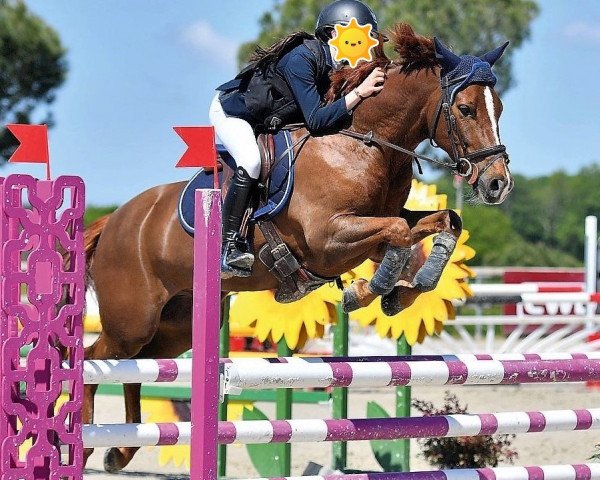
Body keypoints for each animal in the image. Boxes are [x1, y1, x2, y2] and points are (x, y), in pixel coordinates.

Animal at [84, 24, 512, 470]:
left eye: (498, 108)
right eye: (466, 109)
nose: (498, 183)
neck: (363, 144)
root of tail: (113, 220)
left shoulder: (370, 235)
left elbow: (441, 223)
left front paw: (400, 294)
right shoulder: (329, 239)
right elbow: (396, 232)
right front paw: (366, 292)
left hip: (176, 326)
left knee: (137, 367)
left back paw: (120, 450)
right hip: (131, 321)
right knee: (94, 360)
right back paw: (82, 441)